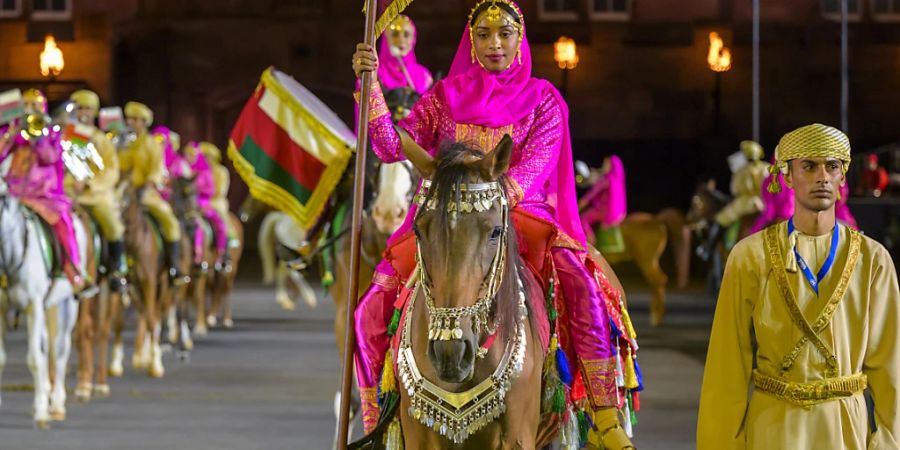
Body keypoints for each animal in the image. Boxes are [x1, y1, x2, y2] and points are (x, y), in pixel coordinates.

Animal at [0, 156, 85, 428]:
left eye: (3, 196)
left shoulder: (33, 305)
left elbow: (35, 358)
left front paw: (40, 411)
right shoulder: (3, 308)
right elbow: (2, 357)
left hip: (69, 303)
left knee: (60, 350)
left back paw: (56, 404)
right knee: (47, 346)